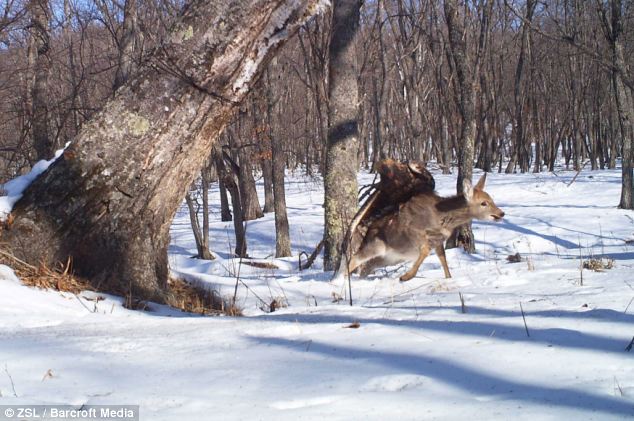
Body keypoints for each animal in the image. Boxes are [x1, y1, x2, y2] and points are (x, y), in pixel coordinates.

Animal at [344, 172, 502, 280]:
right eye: (483, 203)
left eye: (491, 199)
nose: (501, 213)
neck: (441, 218)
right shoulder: (415, 232)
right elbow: (425, 251)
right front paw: (406, 277)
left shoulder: (438, 240)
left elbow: (442, 258)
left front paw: (449, 278)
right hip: (376, 245)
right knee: (354, 259)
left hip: (387, 258)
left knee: (365, 268)